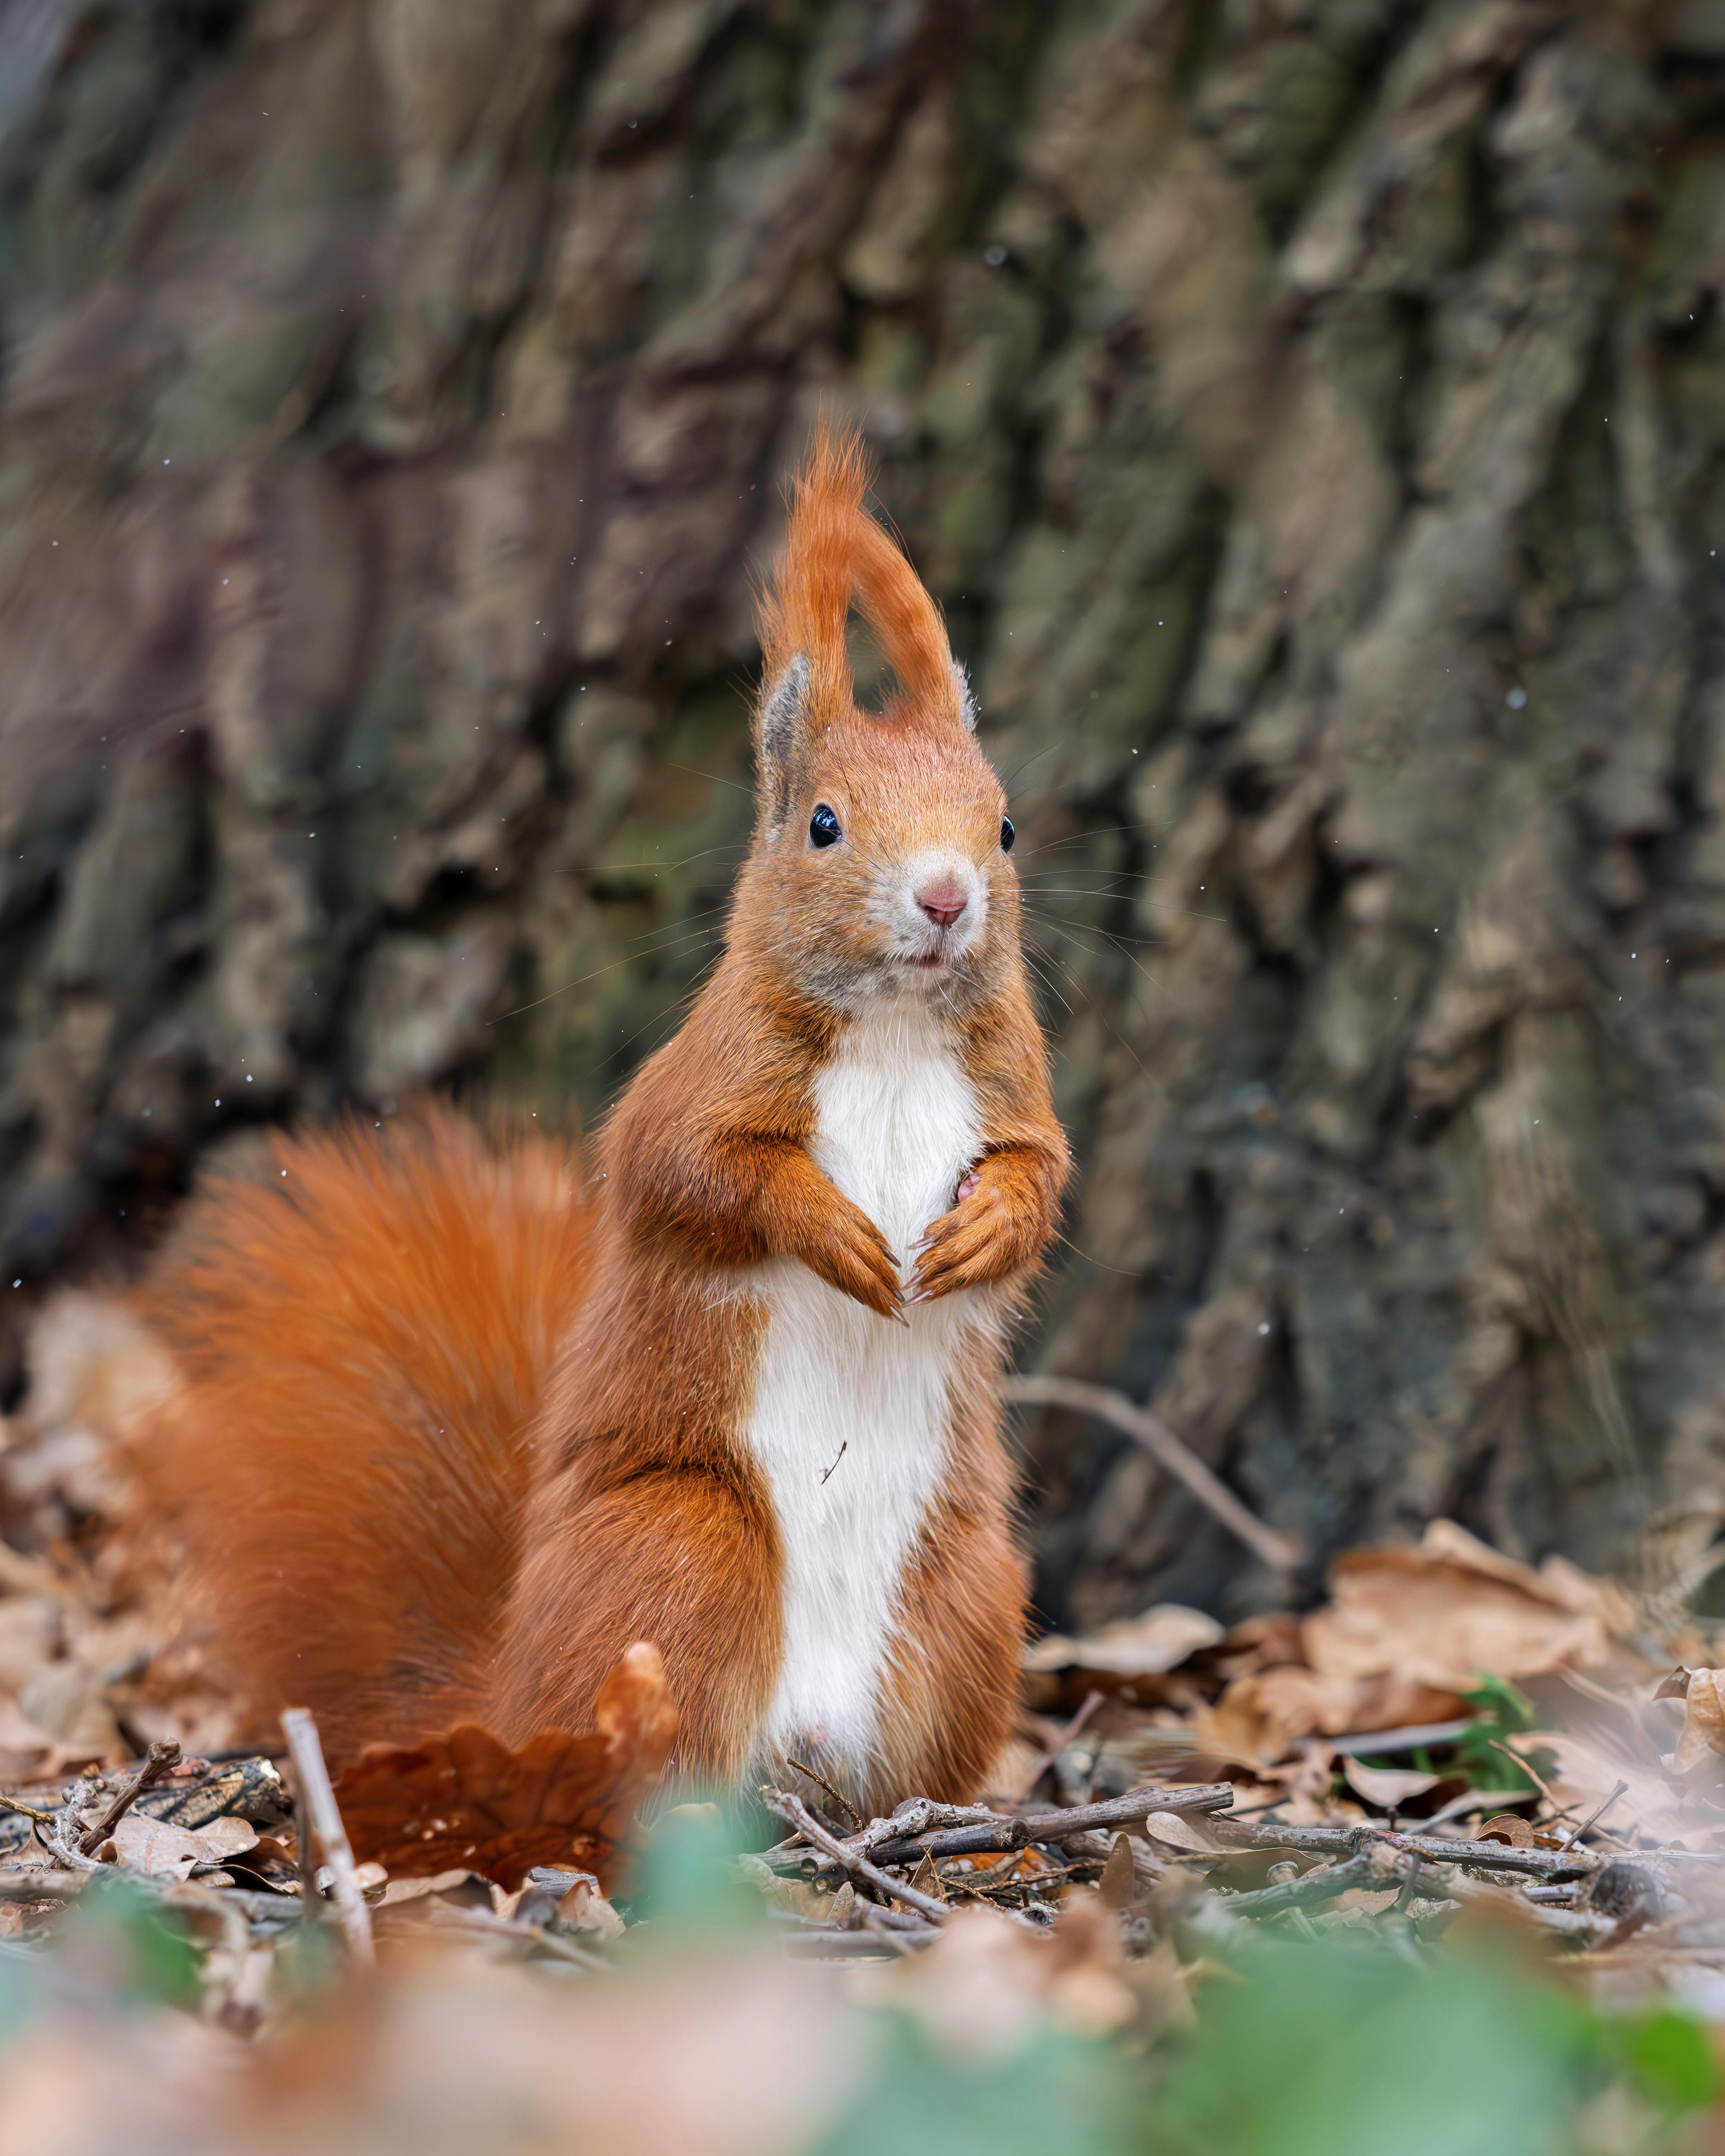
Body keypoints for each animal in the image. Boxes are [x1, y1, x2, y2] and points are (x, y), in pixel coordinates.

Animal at [130, 424, 1070, 1813]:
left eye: (1002, 824)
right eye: (822, 824)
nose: (948, 898)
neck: (897, 1034)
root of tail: (507, 1696)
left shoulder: (1011, 1090)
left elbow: (1041, 1177)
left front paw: (980, 1234)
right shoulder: (694, 1089)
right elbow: (691, 1173)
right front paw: (836, 1234)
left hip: (966, 1595)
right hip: (683, 1557)